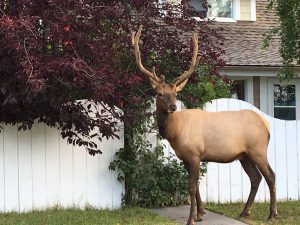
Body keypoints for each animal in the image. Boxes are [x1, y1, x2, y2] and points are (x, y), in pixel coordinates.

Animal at [132, 25, 278, 224]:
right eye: (160, 94)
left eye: (175, 93)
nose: (172, 106)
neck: (175, 132)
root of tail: (266, 124)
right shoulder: (186, 157)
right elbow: (197, 185)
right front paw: (200, 214)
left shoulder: (194, 154)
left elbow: (192, 187)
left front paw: (191, 219)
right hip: (244, 155)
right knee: (255, 178)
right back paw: (245, 212)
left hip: (258, 149)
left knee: (270, 175)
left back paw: (272, 214)